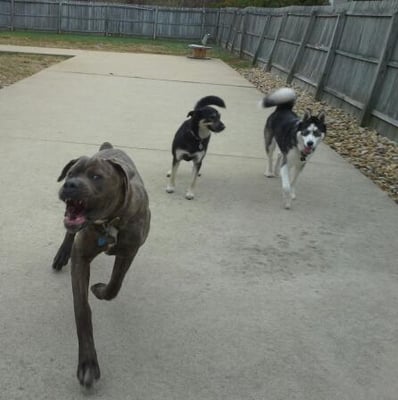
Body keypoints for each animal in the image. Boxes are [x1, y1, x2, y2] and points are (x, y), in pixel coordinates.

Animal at [52, 143, 151, 388]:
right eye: (70, 173)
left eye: (96, 177)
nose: (70, 184)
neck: (109, 222)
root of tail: (109, 147)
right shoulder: (81, 257)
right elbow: (81, 309)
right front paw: (87, 361)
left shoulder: (129, 252)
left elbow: (115, 285)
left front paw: (100, 291)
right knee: (70, 234)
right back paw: (62, 254)